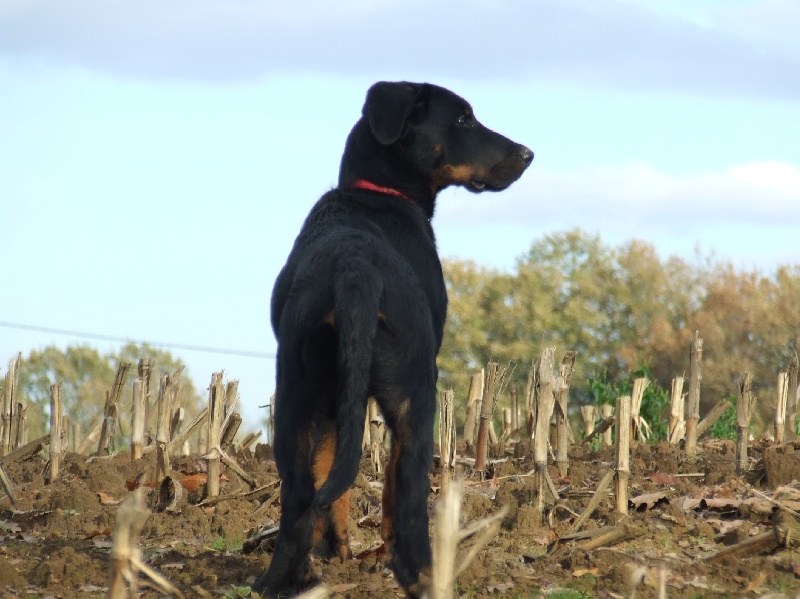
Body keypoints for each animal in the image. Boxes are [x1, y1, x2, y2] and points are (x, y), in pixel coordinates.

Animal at [255, 82, 532, 596]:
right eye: (463, 119)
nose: (527, 154)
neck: (377, 192)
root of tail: (354, 268)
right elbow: (385, 490)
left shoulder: (332, 401)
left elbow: (333, 477)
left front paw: (338, 553)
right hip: (416, 394)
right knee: (407, 494)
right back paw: (426, 574)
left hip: (295, 397)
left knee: (300, 494)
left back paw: (283, 579)